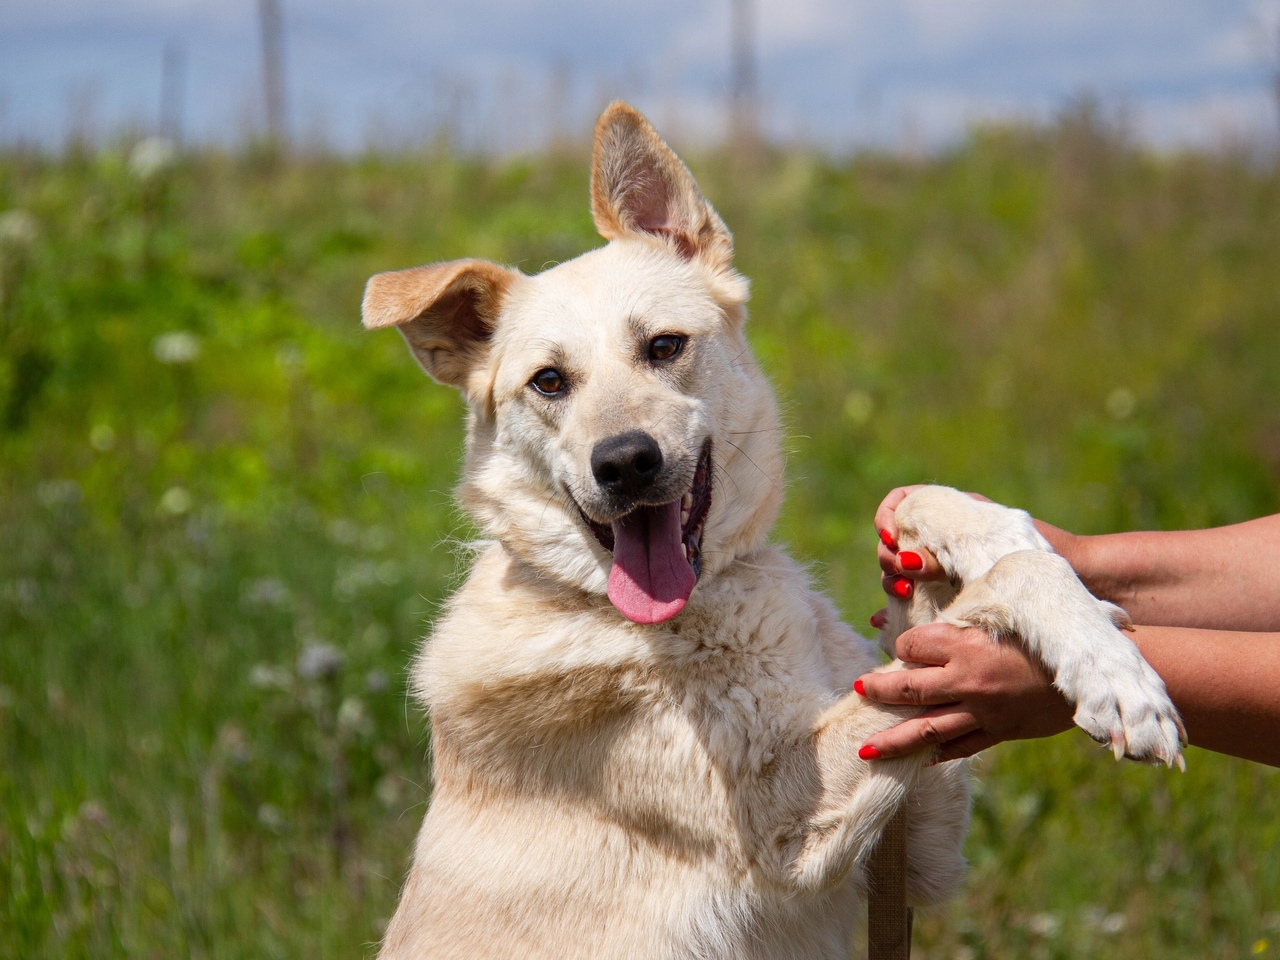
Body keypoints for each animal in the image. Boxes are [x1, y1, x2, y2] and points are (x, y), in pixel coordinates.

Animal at [358, 101, 1177, 957]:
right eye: (548, 382)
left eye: (664, 346)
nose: (624, 463)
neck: (701, 601)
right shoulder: (790, 828)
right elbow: (1003, 589)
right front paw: (1119, 682)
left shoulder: (920, 837)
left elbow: (936, 521)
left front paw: (1025, 556)